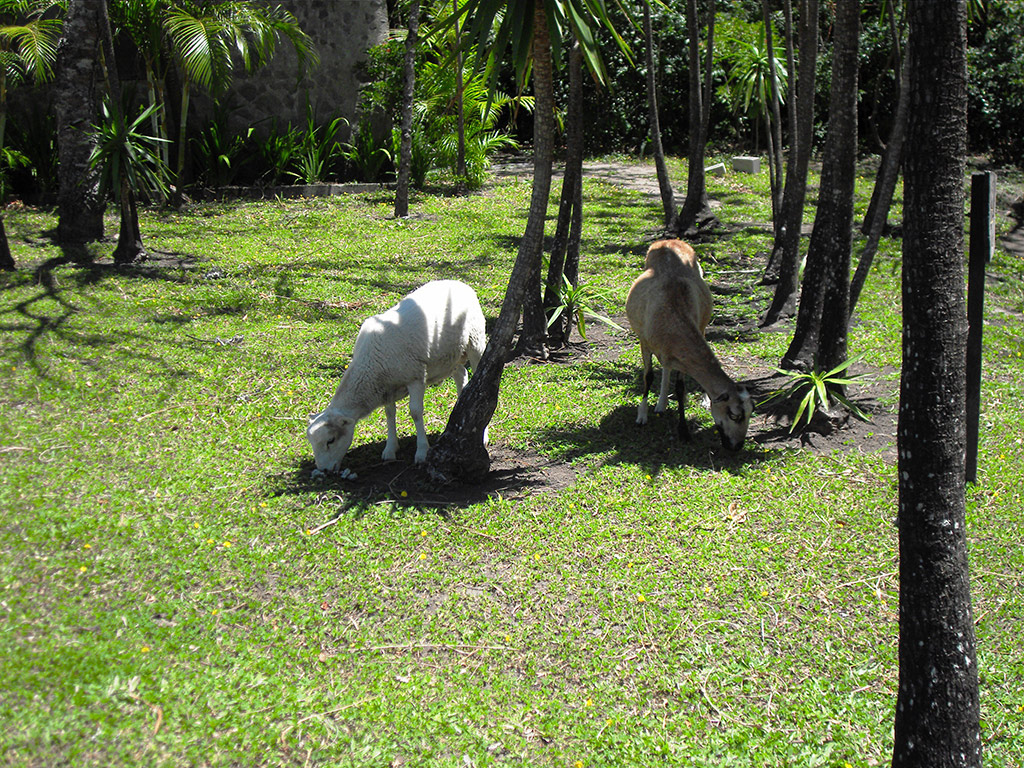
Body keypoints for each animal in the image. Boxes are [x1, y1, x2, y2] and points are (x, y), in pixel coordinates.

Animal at [307, 280, 486, 472]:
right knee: (461, 374)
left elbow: (415, 412)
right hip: (451, 354)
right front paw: (390, 449)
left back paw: (483, 435)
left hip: (475, 341)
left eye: (330, 440)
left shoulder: (415, 377)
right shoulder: (386, 386)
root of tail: (458, 282)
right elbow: (389, 413)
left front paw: (422, 451)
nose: (323, 470)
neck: (371, 365)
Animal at [625, 239, 752, 450]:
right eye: (734, 415)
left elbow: (680, 388)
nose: (737, 446)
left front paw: (683, 430)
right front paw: (641, 416)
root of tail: (669, 241)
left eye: (751, 413)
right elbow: (648, 377)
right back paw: (659, 405)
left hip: (701, 327)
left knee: (667, 368)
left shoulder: (682, 356)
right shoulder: (644, 341)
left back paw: (662, 403)